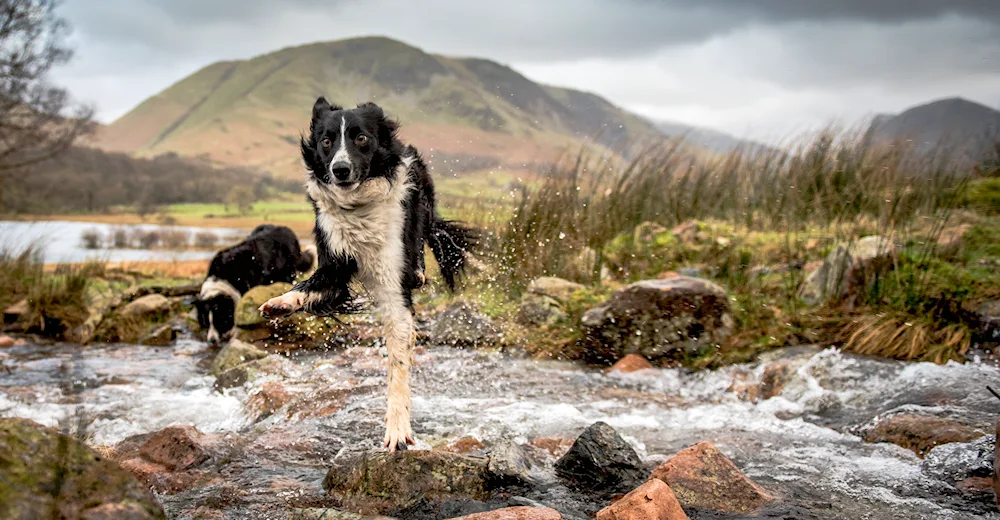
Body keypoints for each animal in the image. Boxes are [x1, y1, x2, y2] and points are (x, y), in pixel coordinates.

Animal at [258, 97, 476, 450]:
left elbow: (397, 364)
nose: (340, 169)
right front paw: (281, 303)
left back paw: (418, 271)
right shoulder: (333, 262)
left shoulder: (393, 286)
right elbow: (311, 285)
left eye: (361, 138)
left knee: (422, 235)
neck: (357, 206)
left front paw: (398, 429)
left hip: (421, 203)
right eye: (326, 141)